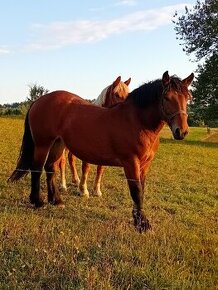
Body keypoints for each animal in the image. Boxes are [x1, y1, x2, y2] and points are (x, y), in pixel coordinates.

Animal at [8, 71, 193, 232]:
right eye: (167, 98)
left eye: (187, 98)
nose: (181, 132)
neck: (136, 121)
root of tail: (39, 100)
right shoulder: (131, 163)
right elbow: (136, 191)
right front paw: (141, 225)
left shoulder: (145, 165)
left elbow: (141, 190)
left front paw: (140, 221)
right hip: (43, 143)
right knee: (37, 169)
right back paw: (37, 201)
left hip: (58, 144)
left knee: (50, 168)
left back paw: (56, 200)